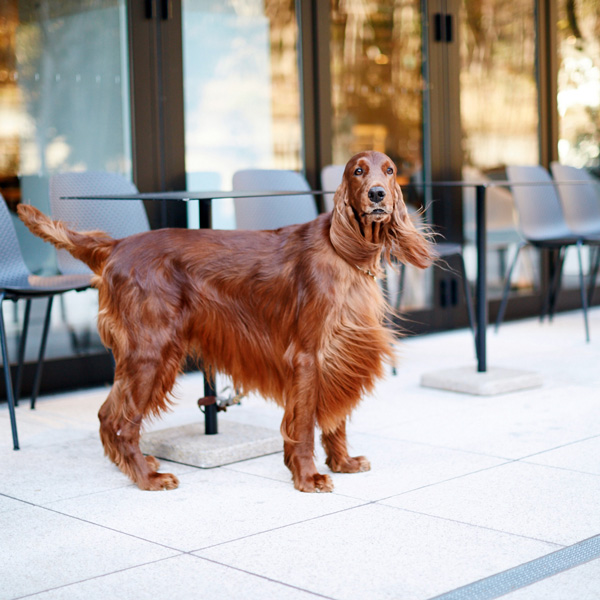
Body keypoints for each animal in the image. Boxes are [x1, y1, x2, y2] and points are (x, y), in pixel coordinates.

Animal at [16, 150, 434, 492]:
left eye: (389, 170)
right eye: (358, 171)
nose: (378, 194)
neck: (346, 252)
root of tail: (117, 245)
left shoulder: (343, 350)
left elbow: (336, 416)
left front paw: (343, 462)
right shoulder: (307, 356)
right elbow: (303, 424)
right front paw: (307, 477)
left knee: (106, 415)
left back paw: (133, 468)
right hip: (152, 351)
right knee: (121, 421)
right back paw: (147, 478)